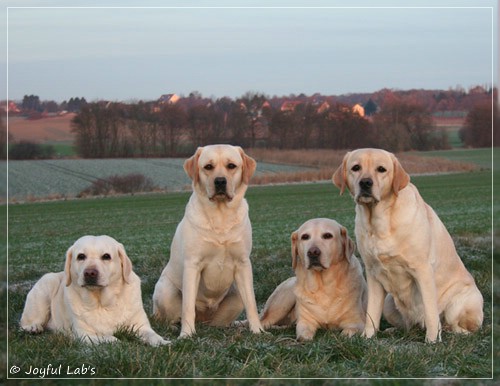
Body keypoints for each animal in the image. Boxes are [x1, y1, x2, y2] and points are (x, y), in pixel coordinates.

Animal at [19, 237, 169, 346]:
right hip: (46, 285)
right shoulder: (85, 334)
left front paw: (163, 342)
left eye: (106, 256)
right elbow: (109, 338)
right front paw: (121, 342)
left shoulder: (141, 326)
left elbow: (152, 335)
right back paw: (33, 328)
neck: (103, 303)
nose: (90, 273)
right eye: (81, 256)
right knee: (24, 322)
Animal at [152, 145, 264, 338]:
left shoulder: (243, 264)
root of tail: (204, 321)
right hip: (166, 290)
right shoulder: (192, 265)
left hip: (235, 294)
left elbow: (251, 303)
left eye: (231, 166)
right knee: (166, 318)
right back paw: (174, 327)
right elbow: (187, 307)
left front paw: (257, 330)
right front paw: (186, 335)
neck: (220, 216)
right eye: (208, 167)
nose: (220, 181)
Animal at [334, 149, 482, 344]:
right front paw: (367, 337)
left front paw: (432, 341)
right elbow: (371, 313)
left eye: (381, 169)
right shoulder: (372, 273)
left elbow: (431, 312)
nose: (365, 182)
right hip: (389, 303)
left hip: (458, 304)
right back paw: (393, 331)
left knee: (461, 327)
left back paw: (448, 330)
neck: (379, 222)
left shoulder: (423, 270)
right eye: (356, 167)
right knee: (408, 325)